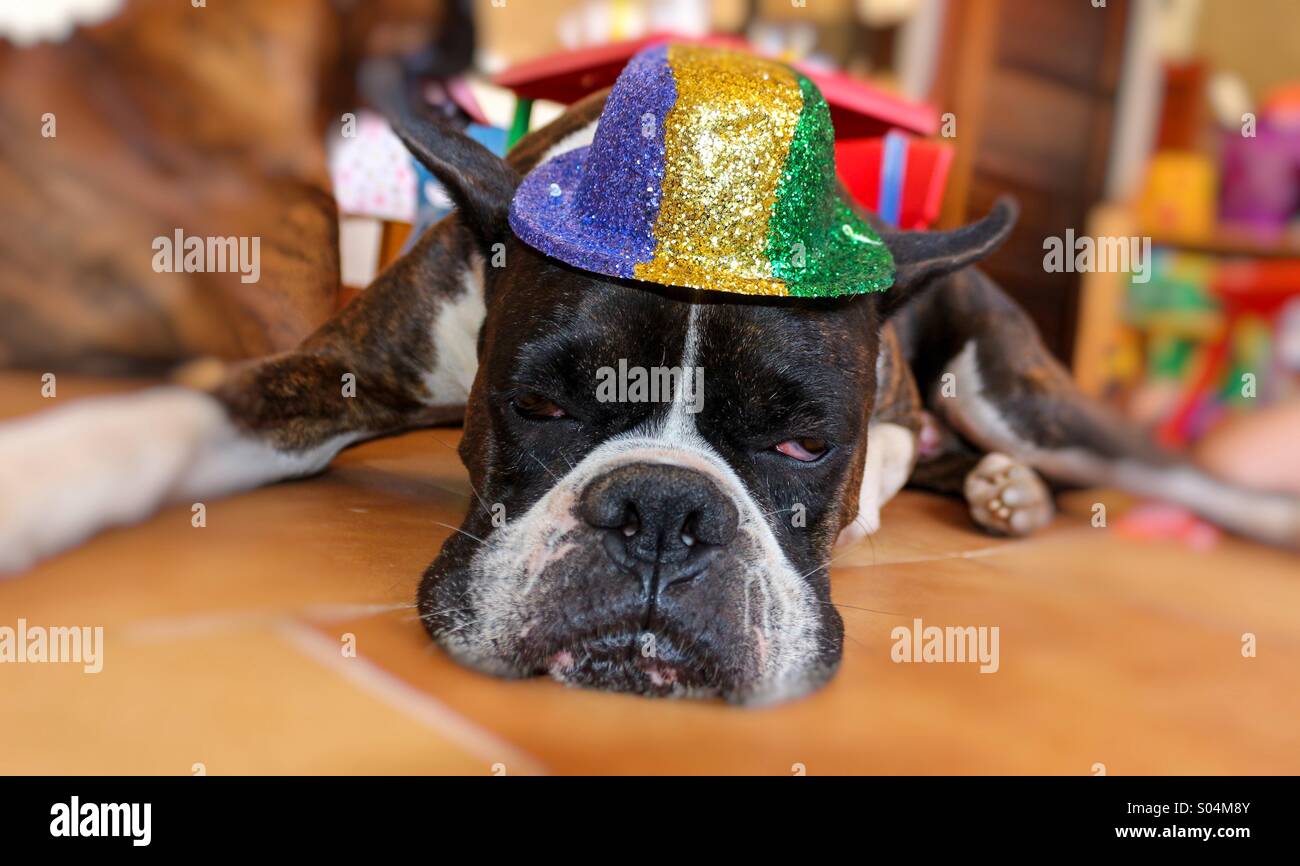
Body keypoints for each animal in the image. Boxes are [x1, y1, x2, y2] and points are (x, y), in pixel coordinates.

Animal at [2, 65, 1300, 702]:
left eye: (801, 444)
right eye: (534, 407)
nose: (664, 513)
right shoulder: (337, 372)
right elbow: (161, 418)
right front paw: (36, 481)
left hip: (1014, 386)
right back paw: (999, 495)